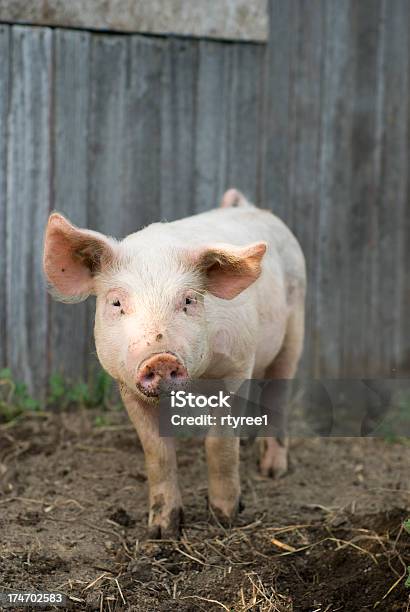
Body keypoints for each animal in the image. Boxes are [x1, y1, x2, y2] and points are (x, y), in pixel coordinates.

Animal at [43, 189, 306, 536]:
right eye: (116, 302)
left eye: (189, 300)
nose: (161, 357)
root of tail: (250, 207)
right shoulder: (126, 384)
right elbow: (157, 451)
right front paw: (162, 530)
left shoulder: (237, 366)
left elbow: (219, 444)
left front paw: (225, 518)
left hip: (295, 324)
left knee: (278, 393)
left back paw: (272, 471)